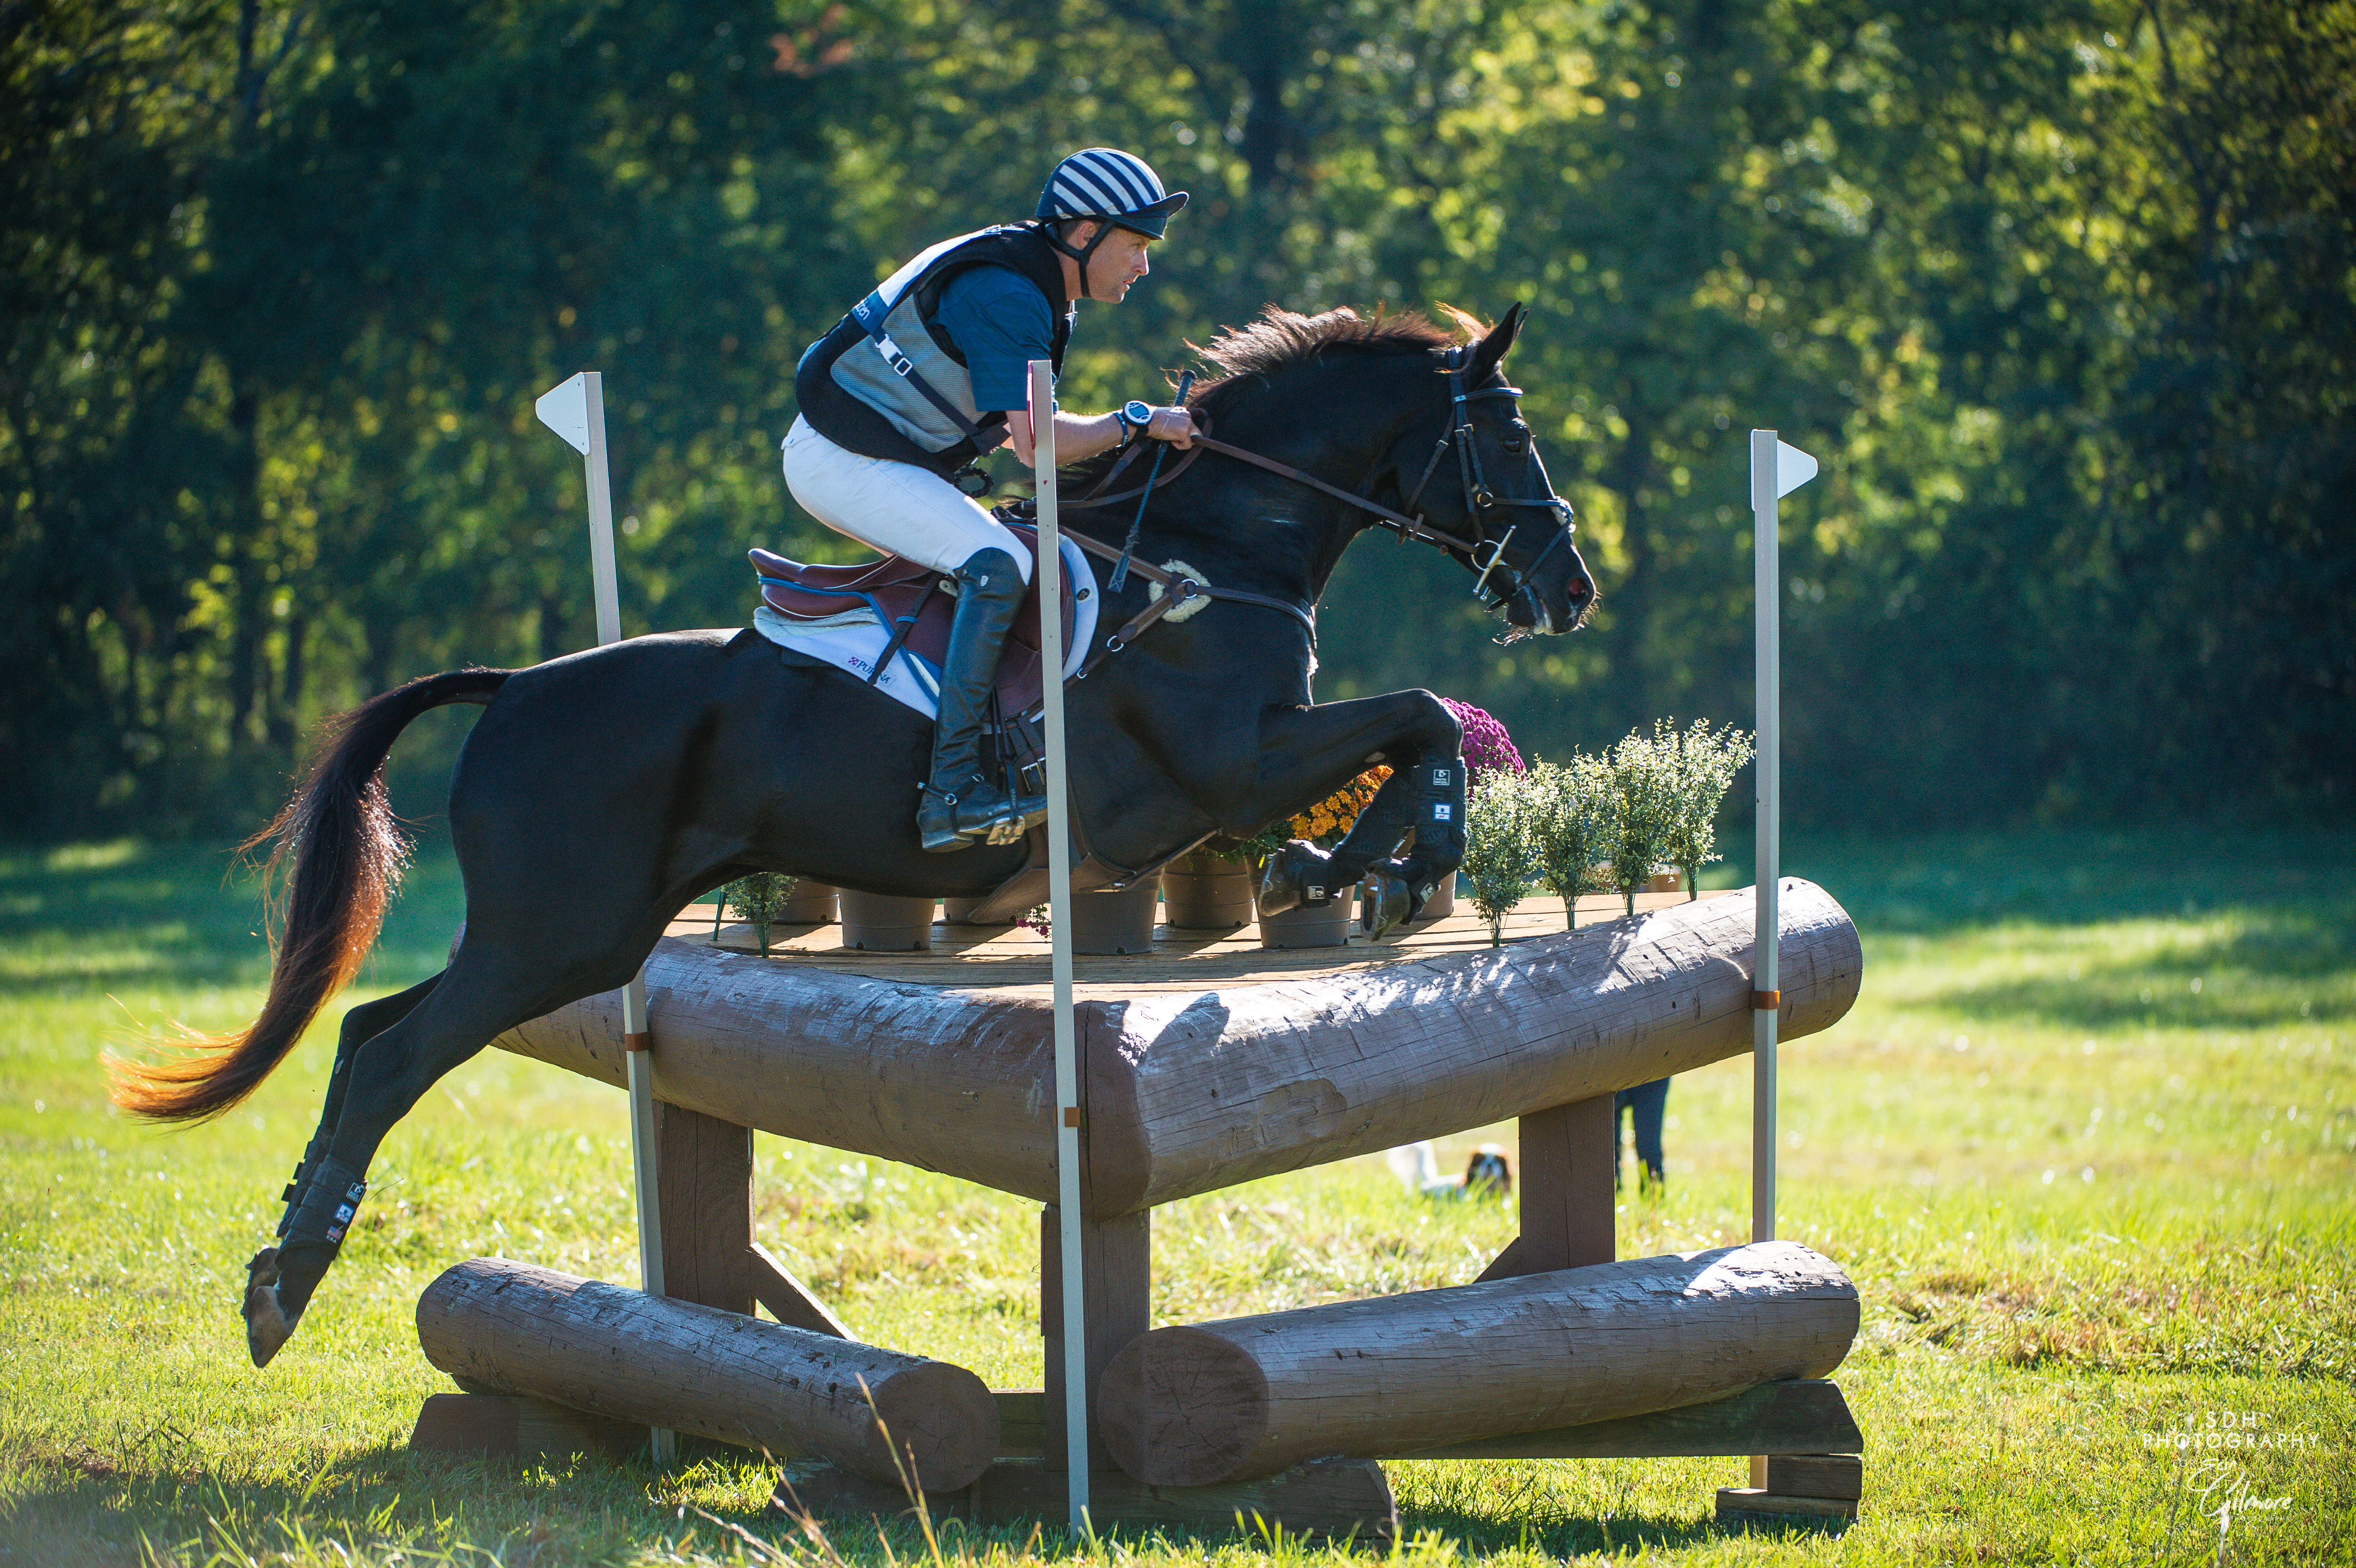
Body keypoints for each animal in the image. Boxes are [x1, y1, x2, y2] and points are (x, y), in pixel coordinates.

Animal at [106, 301, 1583, 1356]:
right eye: (1508, 440)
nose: (1570, 583)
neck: (1216, 550)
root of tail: (516, 687)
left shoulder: (1233, 773)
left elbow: (1412, 729)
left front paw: (1348, 865)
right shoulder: (1217, 772)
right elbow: (1422, 720)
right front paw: (1397, 869)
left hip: (576, 935)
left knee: (371, 1029)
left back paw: (286, 1260)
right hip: (557, 931)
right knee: (392, 1051)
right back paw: (286, 1283)